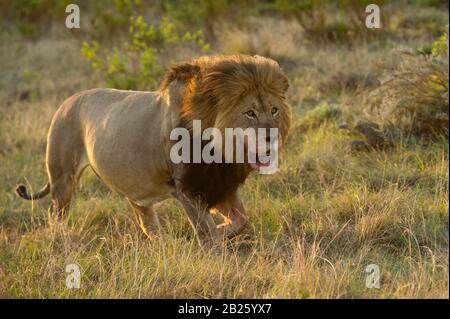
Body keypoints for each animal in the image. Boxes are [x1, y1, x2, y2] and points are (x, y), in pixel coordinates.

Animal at [14, 54, 292, 250]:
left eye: (274, 110)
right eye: (250, 113)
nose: (272, 137)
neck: (221, 149)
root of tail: (66, 101)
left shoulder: (218, 184)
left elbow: (241, 220)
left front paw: (223, 231)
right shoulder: (187, 188)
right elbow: (206, 230)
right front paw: (214, 244)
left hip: (134, 192)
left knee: (148, 224)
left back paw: (164, 245)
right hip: (63, 178)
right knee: (54, 215)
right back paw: (59, 239)